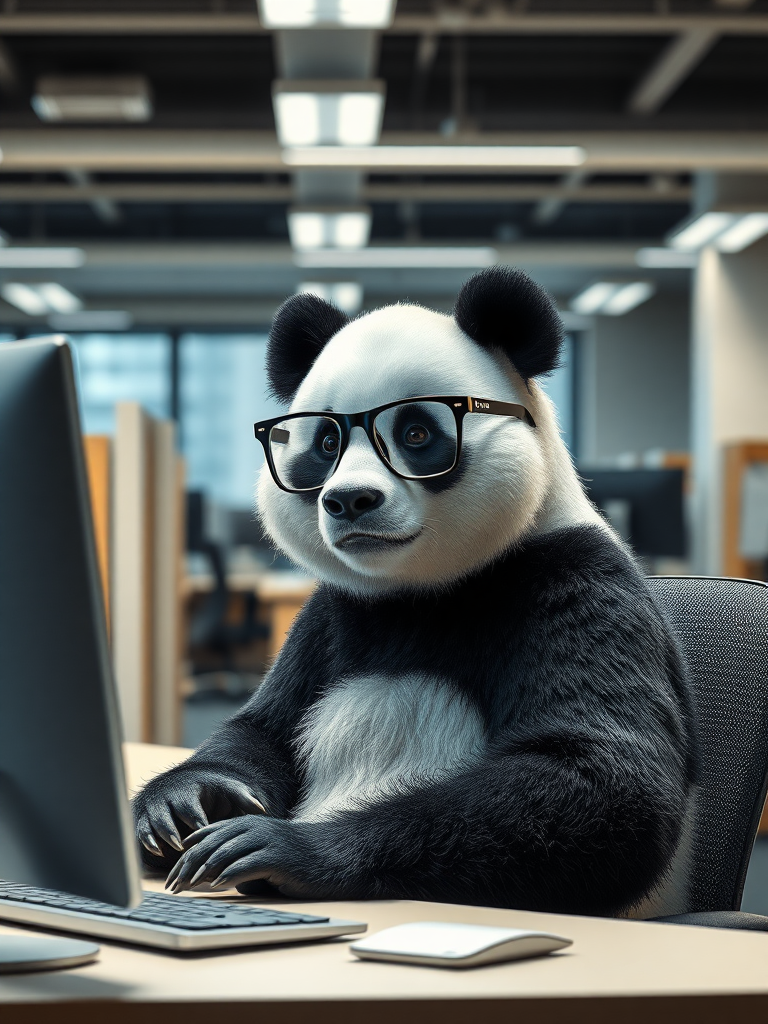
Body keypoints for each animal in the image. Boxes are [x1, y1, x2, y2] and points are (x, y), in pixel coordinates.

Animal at [135, 268, 700, 917]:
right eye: (325, 443)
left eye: (415, 432)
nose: (349, 500)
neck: (420, 589)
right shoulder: (331, 613)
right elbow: (264, 728)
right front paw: (189, 802)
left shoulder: (575, 581)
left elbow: (603, 777)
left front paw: (285, 846)